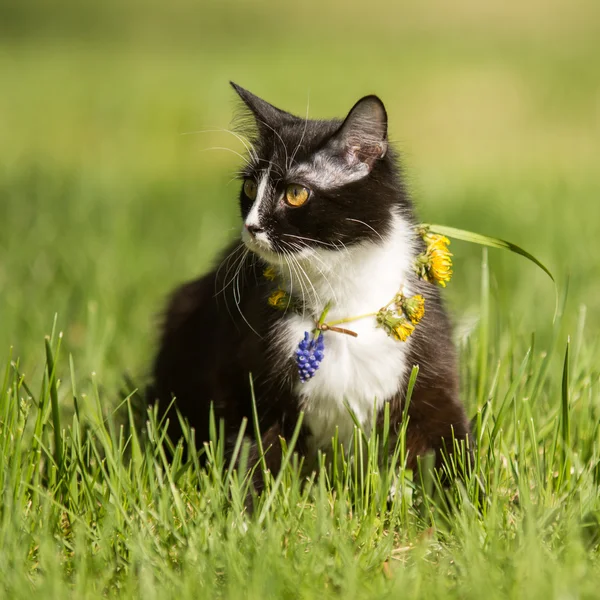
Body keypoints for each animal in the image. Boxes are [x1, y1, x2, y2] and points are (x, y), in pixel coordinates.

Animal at [148, 82, 472, 482]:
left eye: (296, 193)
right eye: (250, 187)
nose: (251, 227)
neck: (342, 296)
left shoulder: (428, 367)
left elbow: (450, 441)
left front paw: (466, 495)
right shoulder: (253, 384)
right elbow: (258, 454)